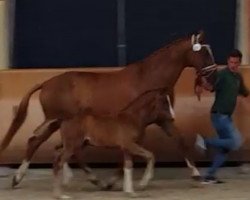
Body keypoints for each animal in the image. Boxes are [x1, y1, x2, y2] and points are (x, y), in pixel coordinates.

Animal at [0, 30, 215, 187]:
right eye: (204, 53)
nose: (212, 81)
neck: (150, 77)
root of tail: (46, 83)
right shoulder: (145, 122)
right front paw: (115, 180)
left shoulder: (163, 119)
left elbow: (180, 141)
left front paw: (196, 174)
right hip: (59, 122)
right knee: (39, 142)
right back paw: (21, 178)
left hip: (60, 124)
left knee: (53, 146)